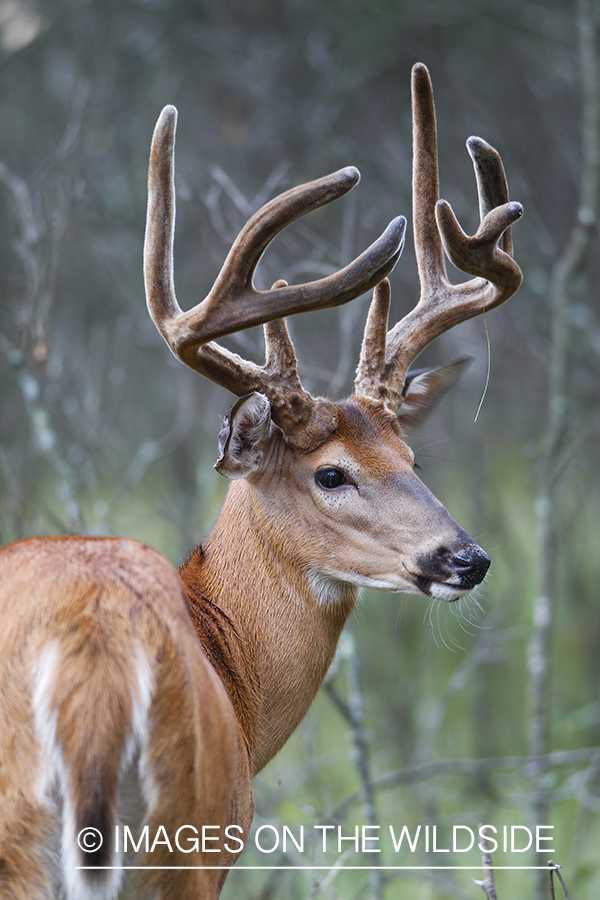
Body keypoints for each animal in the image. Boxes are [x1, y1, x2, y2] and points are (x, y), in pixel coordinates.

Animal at [0, 63, 520, 900]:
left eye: (412, 461)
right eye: (332, 473)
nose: (465, 558)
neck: (231, 656)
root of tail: (95, 665)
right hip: (173, 838)